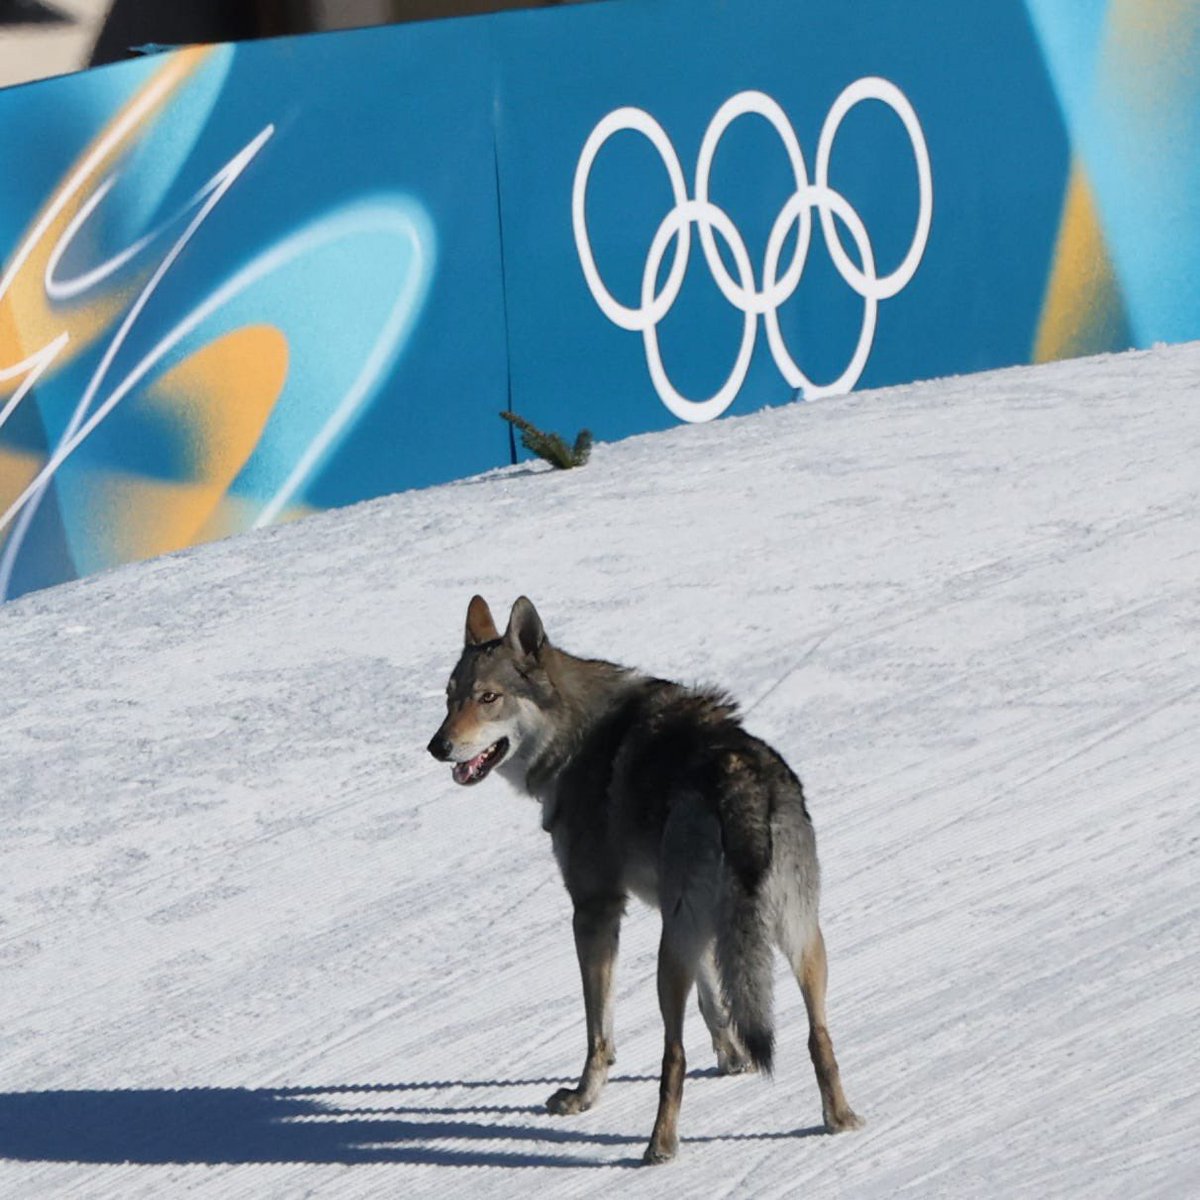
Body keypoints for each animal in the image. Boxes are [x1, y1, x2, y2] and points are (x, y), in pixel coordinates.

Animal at [427, 595, 862, 1164]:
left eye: (488, 698)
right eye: (450, 698)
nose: (437, 746)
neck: (574, 739)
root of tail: (737, 775)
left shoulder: (596, 910)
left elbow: (599, 1032)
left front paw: (582, 1098)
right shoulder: (690, 920)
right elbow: (715, 999)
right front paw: (735, 1059)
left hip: (668, 953)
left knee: (672, 1056)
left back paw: (659, 1147)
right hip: (796, 937)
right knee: (819, 1035)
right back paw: (839, 1120)